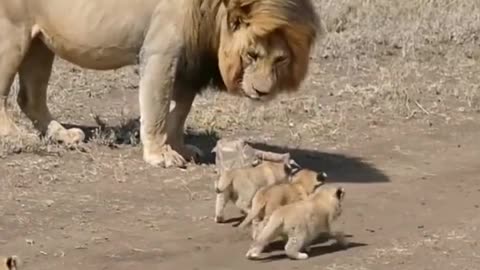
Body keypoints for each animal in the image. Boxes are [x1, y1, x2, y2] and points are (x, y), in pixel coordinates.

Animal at [0, 0, 322, 168]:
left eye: (280, 59)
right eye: (252, 55)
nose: (262, 91)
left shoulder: (189, 63)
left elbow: (179, 112)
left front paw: (180, 148)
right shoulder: (160, 52)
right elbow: (156, 109)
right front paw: (160, 154)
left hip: (41, 42)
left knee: (30, 97)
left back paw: (63, 135)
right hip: (12, 33)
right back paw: (16, 137)